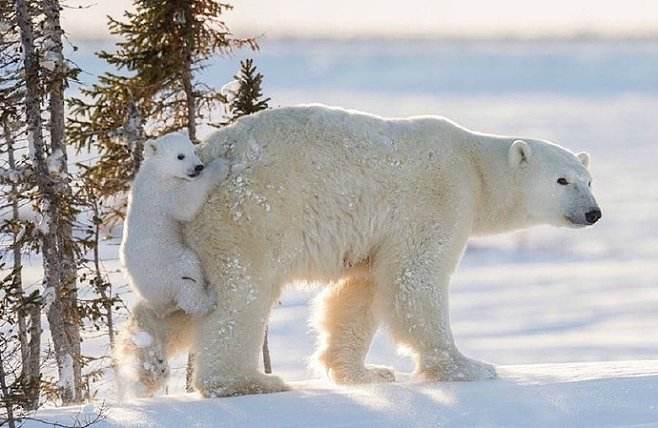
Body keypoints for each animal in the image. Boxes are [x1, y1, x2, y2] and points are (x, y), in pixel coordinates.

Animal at [119, 132, 229, 316]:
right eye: (180, 156)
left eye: (194, 151)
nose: (199, 167)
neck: (156, 171)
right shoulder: (164, 193)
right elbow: (187, 203)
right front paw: (221, 165)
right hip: (168, 265)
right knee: (188, 274)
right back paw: (209, 296)